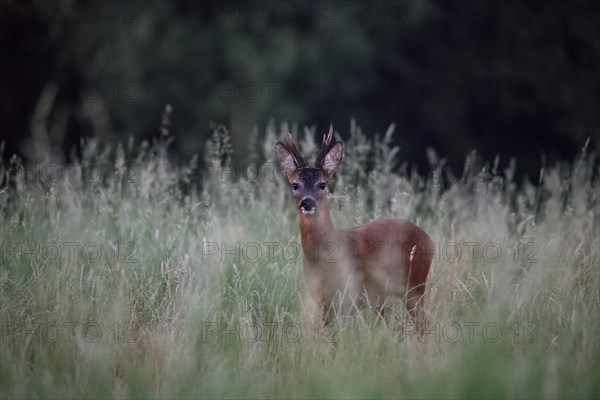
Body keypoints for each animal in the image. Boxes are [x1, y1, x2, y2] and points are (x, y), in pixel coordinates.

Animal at [274, 123, 434, 330]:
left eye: (322, 184)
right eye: (295, 185)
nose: (307, 202)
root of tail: (429, 239)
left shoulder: (350, 294)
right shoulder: (322, 299)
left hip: (415, 285)